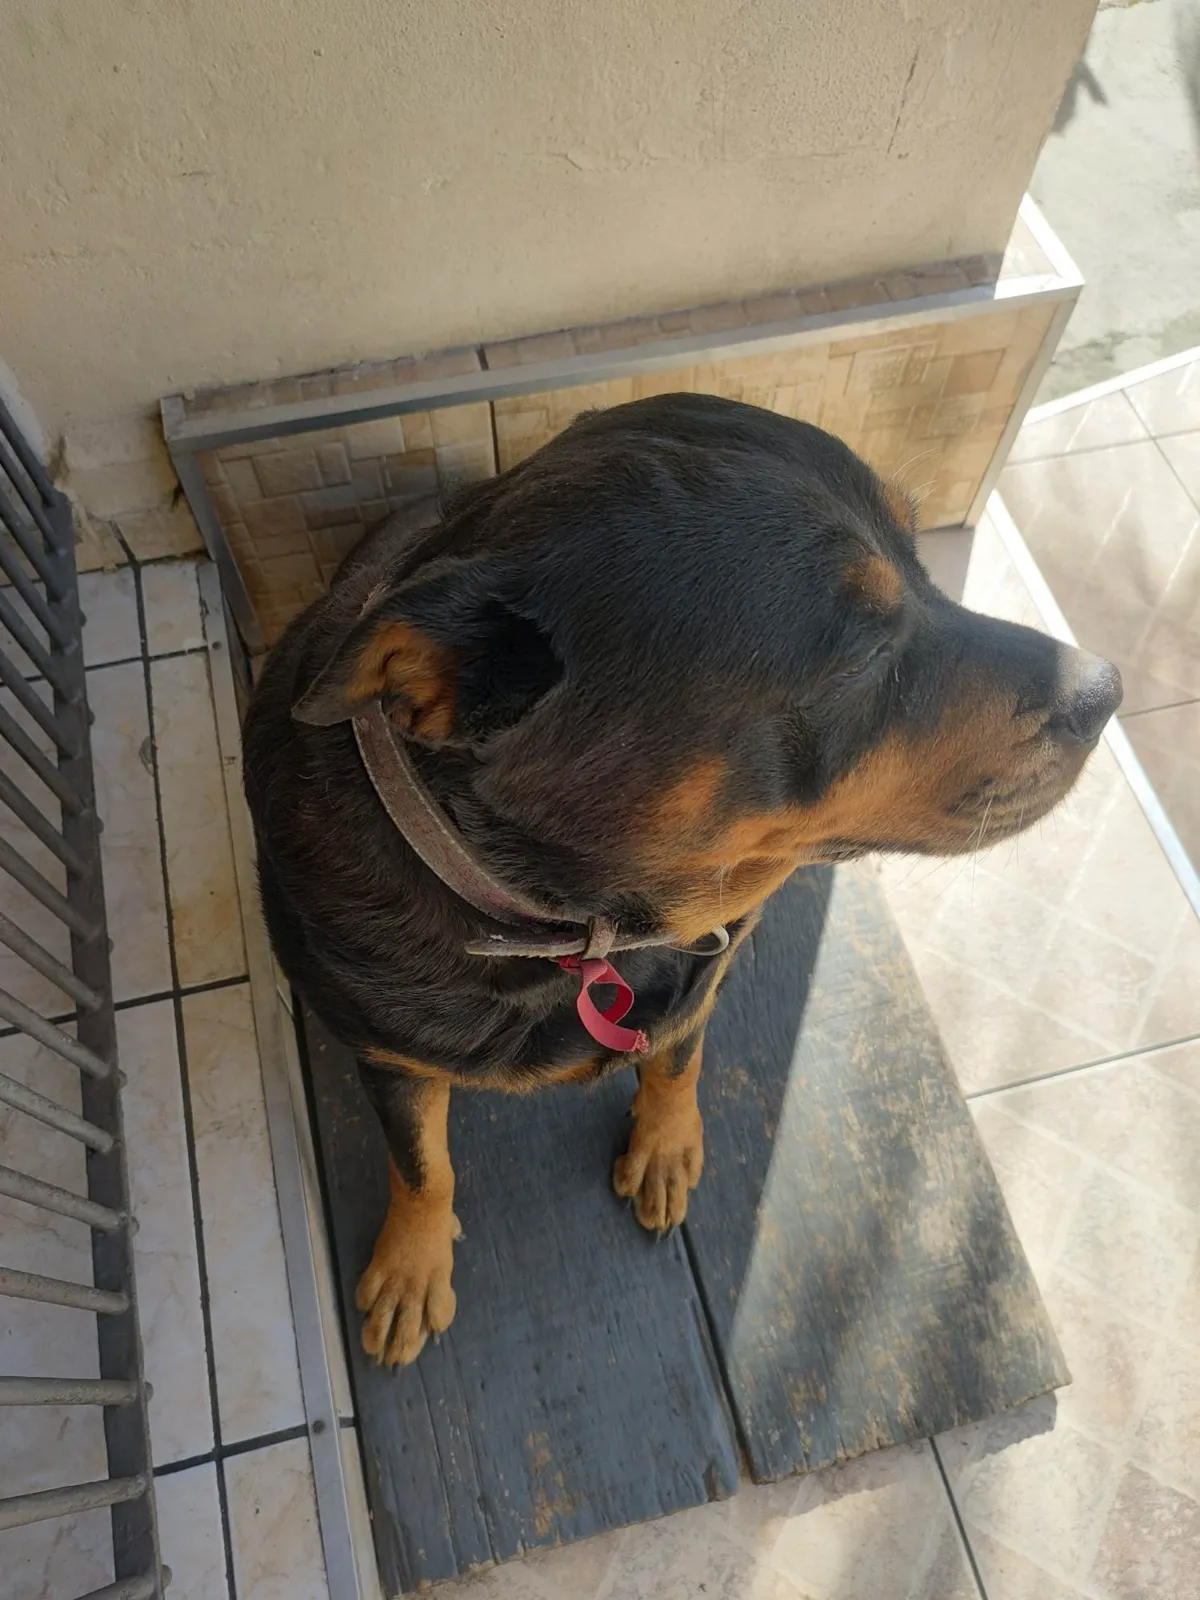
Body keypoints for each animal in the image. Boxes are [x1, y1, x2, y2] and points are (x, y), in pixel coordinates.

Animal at [243, 392, 1121, 1368]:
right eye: (861, 656)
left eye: (921, 556)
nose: (1104, 689)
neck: (574, 924)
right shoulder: (388, 1054)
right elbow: (421, 1164)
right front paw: (412, 1261)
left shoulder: (699, 966)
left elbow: (677, 1057)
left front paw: (666, 1141)